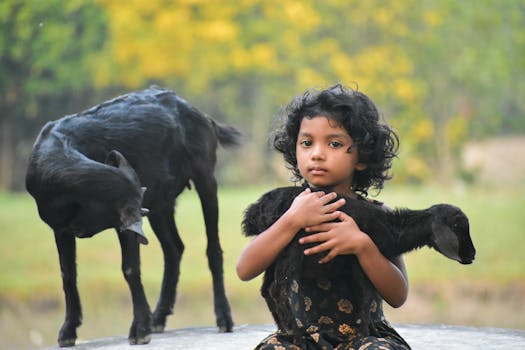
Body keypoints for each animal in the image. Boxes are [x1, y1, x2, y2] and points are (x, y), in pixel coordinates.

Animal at [25, 86, 237, 346]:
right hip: (162, 203)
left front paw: (140, 330)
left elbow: (130, 269)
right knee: (174, 249)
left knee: (213, 249)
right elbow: (68, 274)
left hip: (205, 177)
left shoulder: (121, 225)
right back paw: (159, 317)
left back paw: (223, 318)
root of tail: (198, 113)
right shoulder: (61, 228)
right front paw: (67, 332)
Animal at [242, 186, 474, 342]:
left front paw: (371, 329)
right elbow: (366, 296)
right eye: (458, 227)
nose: (473, 254)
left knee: (266, 289)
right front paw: (365, 334)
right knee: (278, 289)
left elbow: (370, 295)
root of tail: (256, 211)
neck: (392, 229)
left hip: (276, 253)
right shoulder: (358, 260)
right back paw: (298, 336)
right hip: (291, 248)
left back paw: (285, 329)